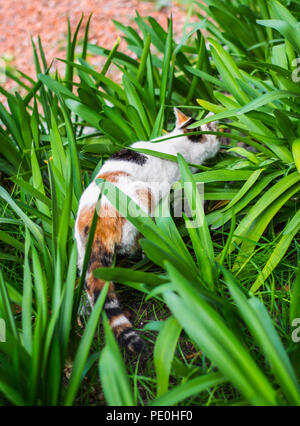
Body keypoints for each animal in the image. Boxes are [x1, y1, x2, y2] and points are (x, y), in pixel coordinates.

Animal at [75, 108, 220, 354]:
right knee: (135, 242)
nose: (222, 139)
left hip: (82, 253)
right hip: (144, 198)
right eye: (215, 131)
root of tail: (95, 224)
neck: (175, 143)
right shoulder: (178, 185)